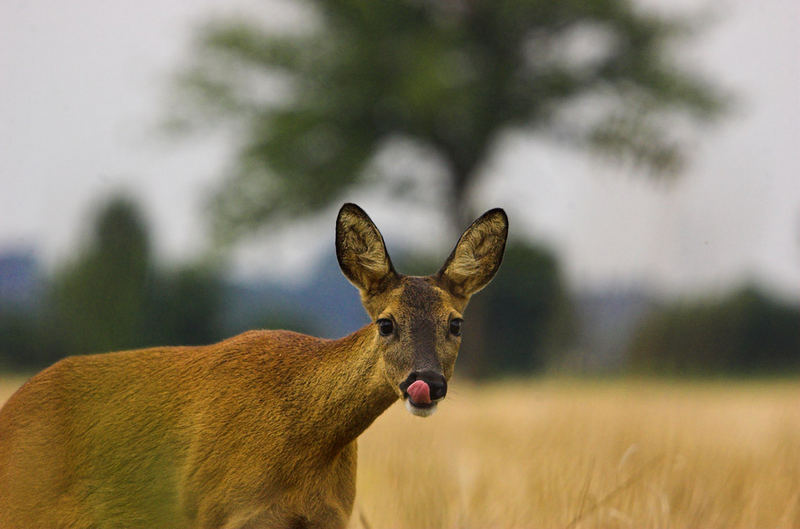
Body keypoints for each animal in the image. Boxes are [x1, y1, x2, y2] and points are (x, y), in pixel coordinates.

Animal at [0, 203, 510, 528]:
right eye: (385, 323)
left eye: (456, 324)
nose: (426, 382)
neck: (304, 446)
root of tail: (12, 409)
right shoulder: (218, 509)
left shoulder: (328, 517)